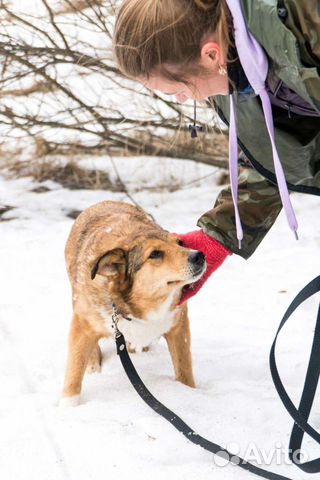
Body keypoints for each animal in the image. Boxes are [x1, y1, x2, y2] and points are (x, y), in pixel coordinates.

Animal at [61, 200, 206, 404]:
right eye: (155, 254)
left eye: (180, 243)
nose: (199, 255)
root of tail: (103, 202)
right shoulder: (82, 325)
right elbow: (74, 370)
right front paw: (69, 405)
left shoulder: (178, 326)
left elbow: (184, 369)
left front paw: (189, 392)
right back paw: (94, 365)